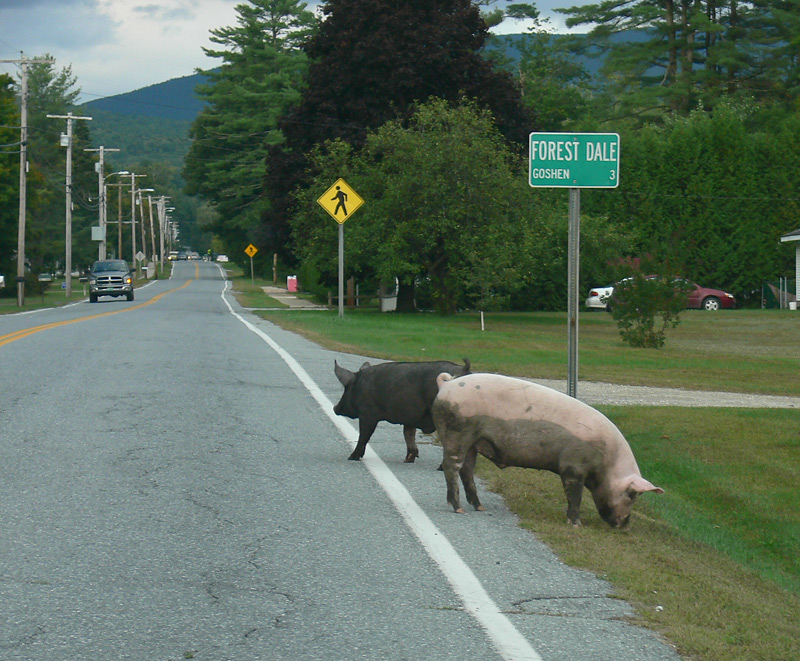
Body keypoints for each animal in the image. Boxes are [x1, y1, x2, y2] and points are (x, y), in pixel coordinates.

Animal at [333, 359, 471, 462]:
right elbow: (408, 434)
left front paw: (351, 457)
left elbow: (364, 436)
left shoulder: (368, 415)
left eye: (346, 388)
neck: (359, 385)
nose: (335, 408)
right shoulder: (410, 417)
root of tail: (464, 370)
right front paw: (408, 460)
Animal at [432, 372, 664, 528]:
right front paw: (576, 525)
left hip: (473, 441)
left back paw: (479, 507)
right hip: (456, 432)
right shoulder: (572, 466)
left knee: (467, 470)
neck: (608, 462)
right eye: (632, 496)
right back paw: (459, 508)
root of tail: (446, 384)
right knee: (451, 467)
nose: (625, 526)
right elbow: (575, 496)